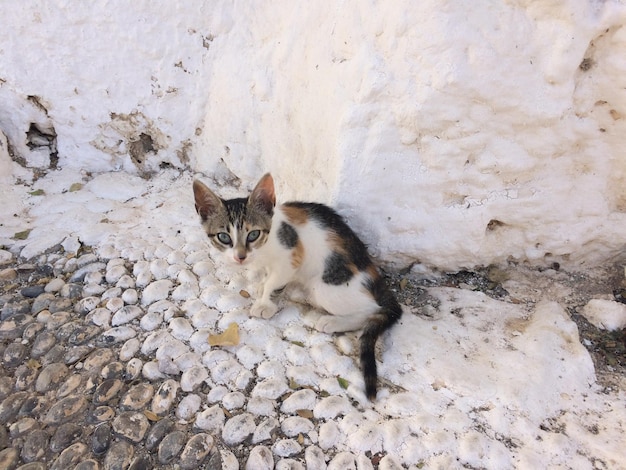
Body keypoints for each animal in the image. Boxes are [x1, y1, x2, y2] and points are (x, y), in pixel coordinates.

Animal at [193, 173, 402, 400]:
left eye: (253, 234)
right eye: (223, 237)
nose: (240, 256)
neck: (267, 243)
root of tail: (375, 277)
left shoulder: (292, 255)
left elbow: (276, 281)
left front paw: (265, 302)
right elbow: (267, 275)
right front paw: (262, 285)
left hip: (326, 286)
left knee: (370, 309)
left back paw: (332, 322)